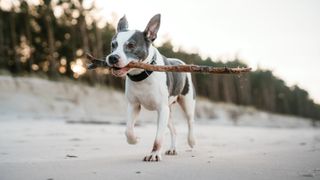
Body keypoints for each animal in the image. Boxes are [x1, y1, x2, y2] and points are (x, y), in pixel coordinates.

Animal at [105, 14, 195, 162]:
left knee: (190, 121)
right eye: (113, 45)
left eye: (131, 45)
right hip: (168, 111)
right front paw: (134, 140)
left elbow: (158, 137)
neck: (142, 75)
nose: (112, 58)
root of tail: (180, 61)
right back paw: (173, 149)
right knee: (174, 130)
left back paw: (192, 141)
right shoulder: (134, 105)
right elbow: (128, 130)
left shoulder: (162, 109)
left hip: (186, 102)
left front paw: (154, 154)